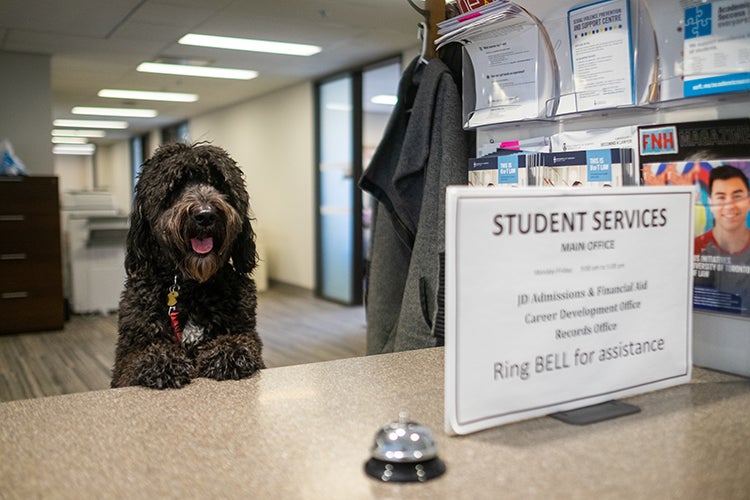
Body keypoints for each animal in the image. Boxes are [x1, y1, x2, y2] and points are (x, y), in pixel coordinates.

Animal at [110, 143, 264, 388]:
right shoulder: (127, 355)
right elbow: (136, 360)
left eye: (219, 183)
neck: (191, 287)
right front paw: (161, 360)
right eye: (175, 186)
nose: (205, 215)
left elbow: (244, 342)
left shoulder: (247, 332)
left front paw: (229, 351)